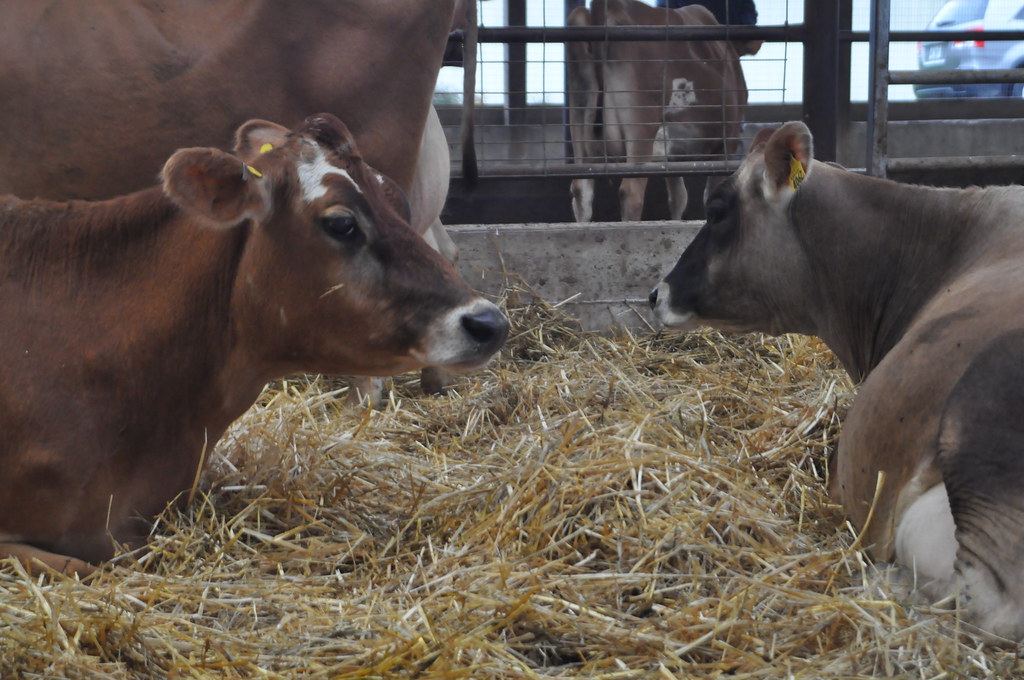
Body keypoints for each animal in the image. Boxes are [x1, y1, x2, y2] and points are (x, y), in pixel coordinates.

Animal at [566, 0, 748, 223]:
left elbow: (678, 197)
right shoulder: (727, 142)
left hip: (579, 119)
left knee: (581, 191)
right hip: (640, 127)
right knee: (631, 191)